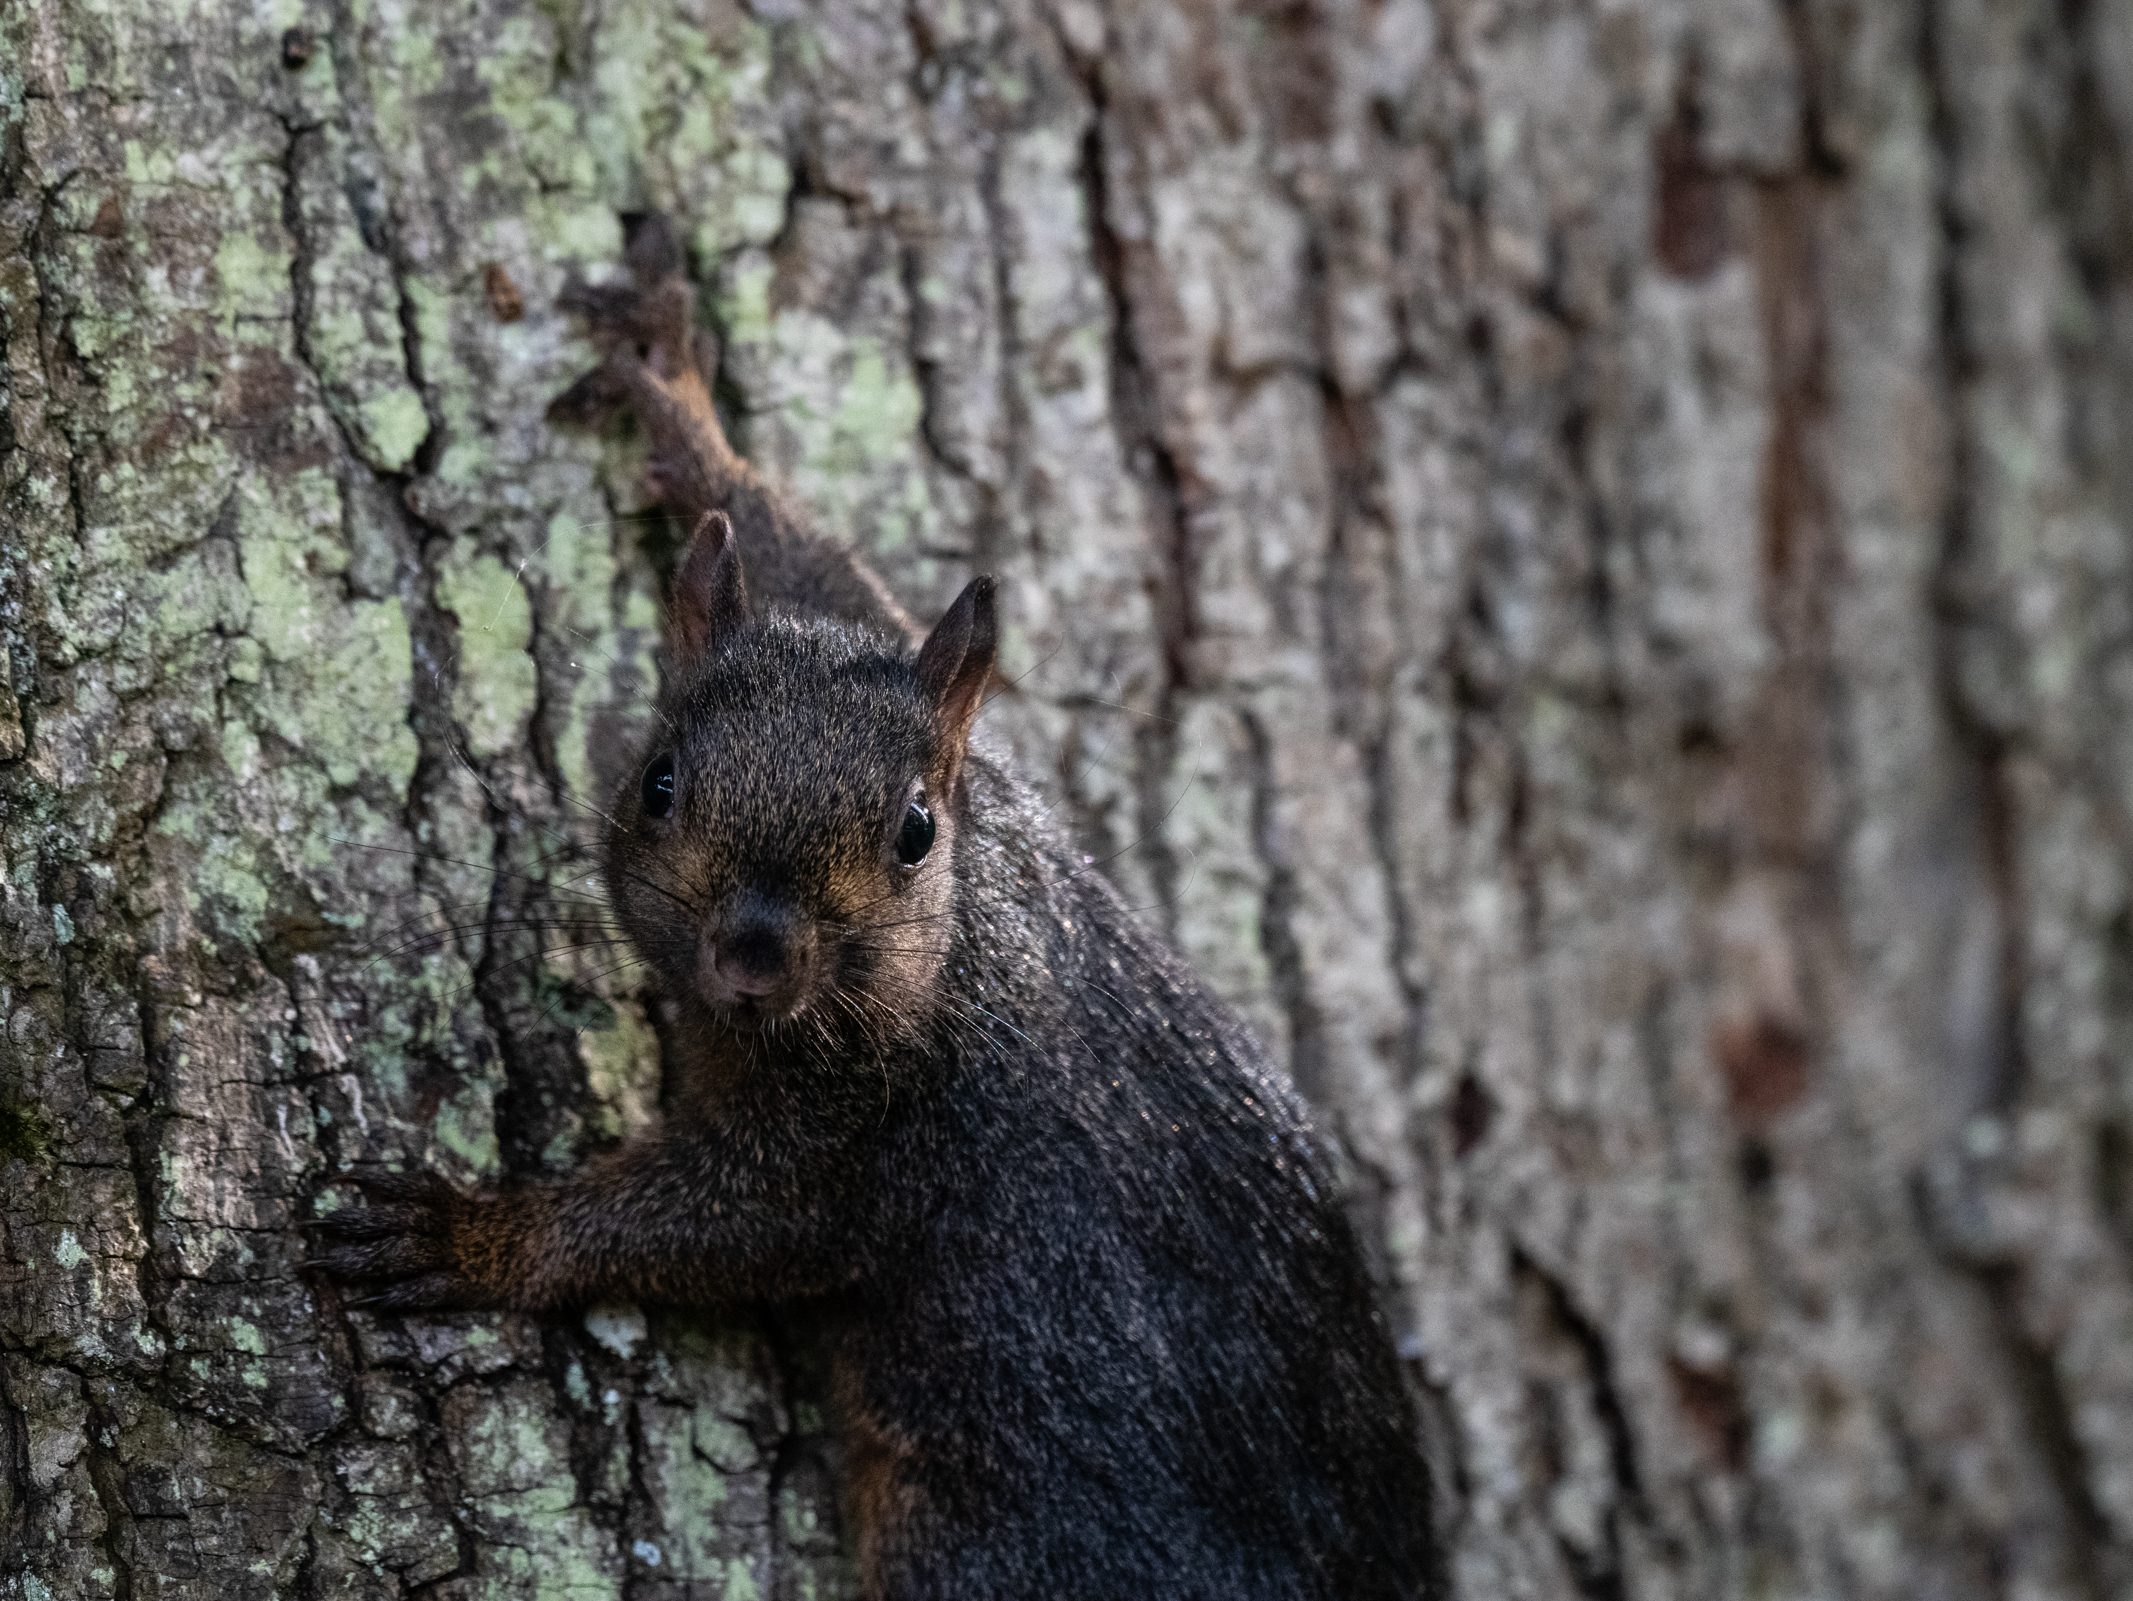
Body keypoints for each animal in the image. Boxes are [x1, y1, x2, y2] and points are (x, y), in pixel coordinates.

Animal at [315, 216, 1441, 1601]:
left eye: (914, 831)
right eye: (660, 779)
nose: (753, 954)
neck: (958, 955)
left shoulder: (865, 1141)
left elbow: (725, 1222)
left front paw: (482, 1236)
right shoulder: (922, 695)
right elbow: (828, 569)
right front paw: (682, 409)